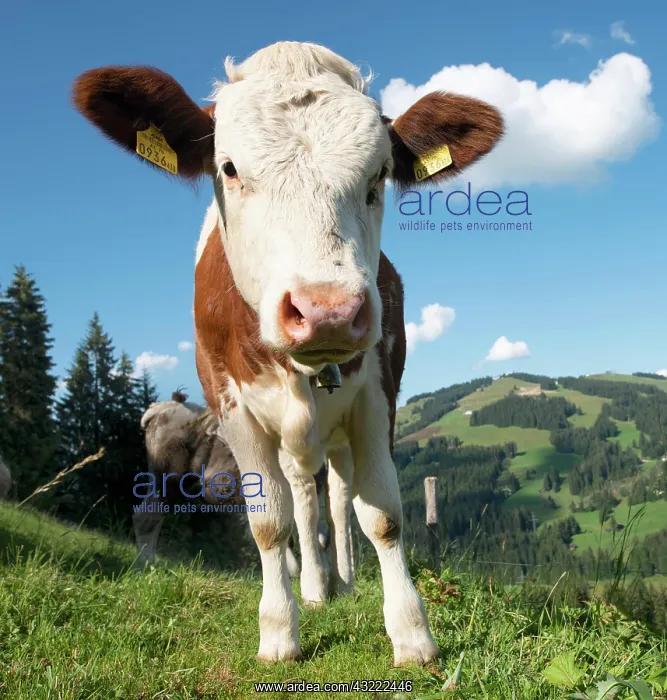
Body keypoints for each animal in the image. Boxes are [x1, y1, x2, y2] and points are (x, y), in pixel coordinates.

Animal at [72, 41, 503, 665]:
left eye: (379, 174)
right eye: (229, 167)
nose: (327, 310)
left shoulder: (379, 394)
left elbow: (381, 515)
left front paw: (411, 632)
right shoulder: (231, 404)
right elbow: (270, 522)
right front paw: (279, 630)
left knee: (336, 502)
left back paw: (339, 581)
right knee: (292, 499)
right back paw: (314, 588)